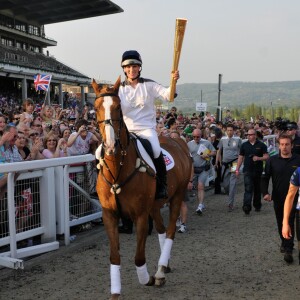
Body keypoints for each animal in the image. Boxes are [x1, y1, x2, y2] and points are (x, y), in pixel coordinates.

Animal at [92, 76, 192, 298]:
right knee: (162, 229)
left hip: (177, 195)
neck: (118, 170)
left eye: (118, 107)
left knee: (170, 231)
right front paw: (115, 292)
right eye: (95, 108)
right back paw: (164, 266)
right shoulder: (109, 215)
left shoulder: (139, 215)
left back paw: (161, 271)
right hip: (154, 205)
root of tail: (178, 140)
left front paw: (148, 279)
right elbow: (114, 257)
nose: (110, 146)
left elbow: (138, 257)